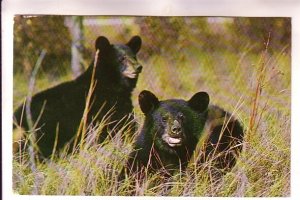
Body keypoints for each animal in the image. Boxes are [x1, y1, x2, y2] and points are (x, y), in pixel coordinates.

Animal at [12, 36, 142, 158]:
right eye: (122, 58)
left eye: (134, 56)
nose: (138, 67)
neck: (111, 86)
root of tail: (17, 114)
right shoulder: (100, 109)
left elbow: (127, 126)